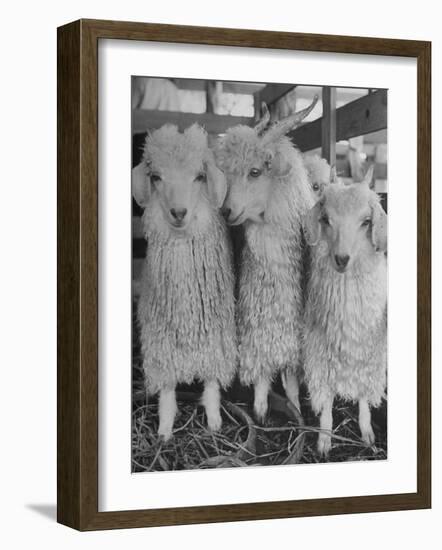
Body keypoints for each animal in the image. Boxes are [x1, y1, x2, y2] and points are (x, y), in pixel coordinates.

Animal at [132, 123, 238, 442]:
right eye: (156, 177)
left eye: (199, 176)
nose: (178, 213)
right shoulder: (160, 342)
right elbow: (167, 389)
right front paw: (165, 430)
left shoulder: (217, 337)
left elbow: (212, 383)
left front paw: (214, 423)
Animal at [304, 167, 386, 458]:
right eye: (326, 219)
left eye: (366, 221)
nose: (341, 259)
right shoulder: (319, 356)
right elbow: (326, 401)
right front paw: (325, 440)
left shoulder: (368, 356)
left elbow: (363, 397)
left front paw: (367, 434)